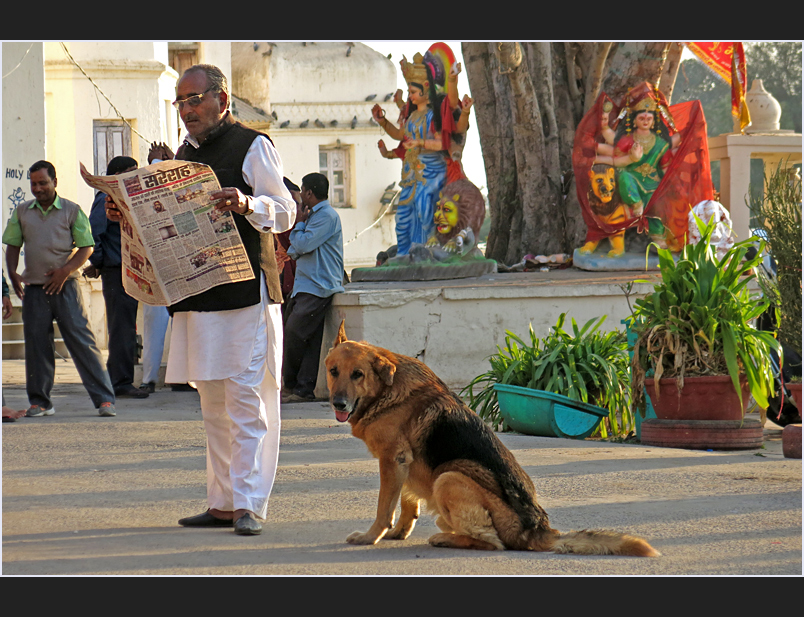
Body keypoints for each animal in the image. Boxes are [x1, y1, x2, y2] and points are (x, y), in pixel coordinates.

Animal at [326, 320, 660, 556]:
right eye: (333, 371)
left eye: (357, 374)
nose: (339, 404)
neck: (387, 389)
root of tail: (536, 528)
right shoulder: (404, 463)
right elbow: (408, 503)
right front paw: (398, 533)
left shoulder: (392, 461)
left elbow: (384, 507)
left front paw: (371, 537)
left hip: (449, 477)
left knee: (492, 542)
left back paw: (445, 538)